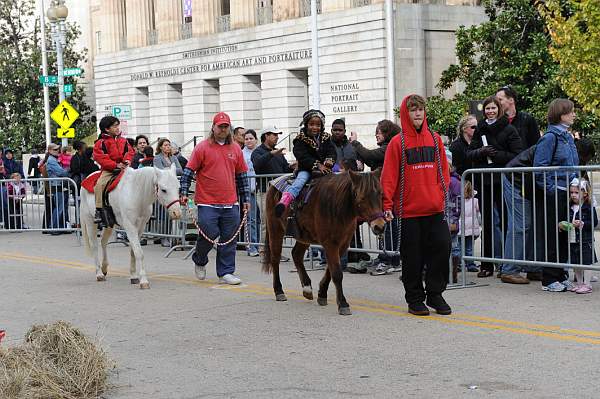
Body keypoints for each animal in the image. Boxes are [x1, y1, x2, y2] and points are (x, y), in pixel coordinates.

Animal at [262, 170, 384, 318]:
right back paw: (279, 291)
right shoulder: (330, 244)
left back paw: (307, 288)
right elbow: (336, 273)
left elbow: (330, 270)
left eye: (380, 194)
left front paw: (322, 294)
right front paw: (343, 303)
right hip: (276, 229)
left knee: (296, 255)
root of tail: (273, 184)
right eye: (362, 197)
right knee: (275, 259)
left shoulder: (342, 244)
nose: (379, 226)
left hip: (304, 237)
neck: (337, 206)